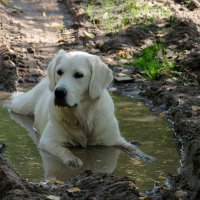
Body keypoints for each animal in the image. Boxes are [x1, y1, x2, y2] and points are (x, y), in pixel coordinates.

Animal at [8, 49, 155, 167]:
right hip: (22, 105)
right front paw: (72, 159)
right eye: (59, 72)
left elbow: (131, 147)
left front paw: (145, 156)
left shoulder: (114, 138)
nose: (58, 92)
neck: (82, 116)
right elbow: (64, 150)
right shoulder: (47, 141)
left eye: (78, 75)